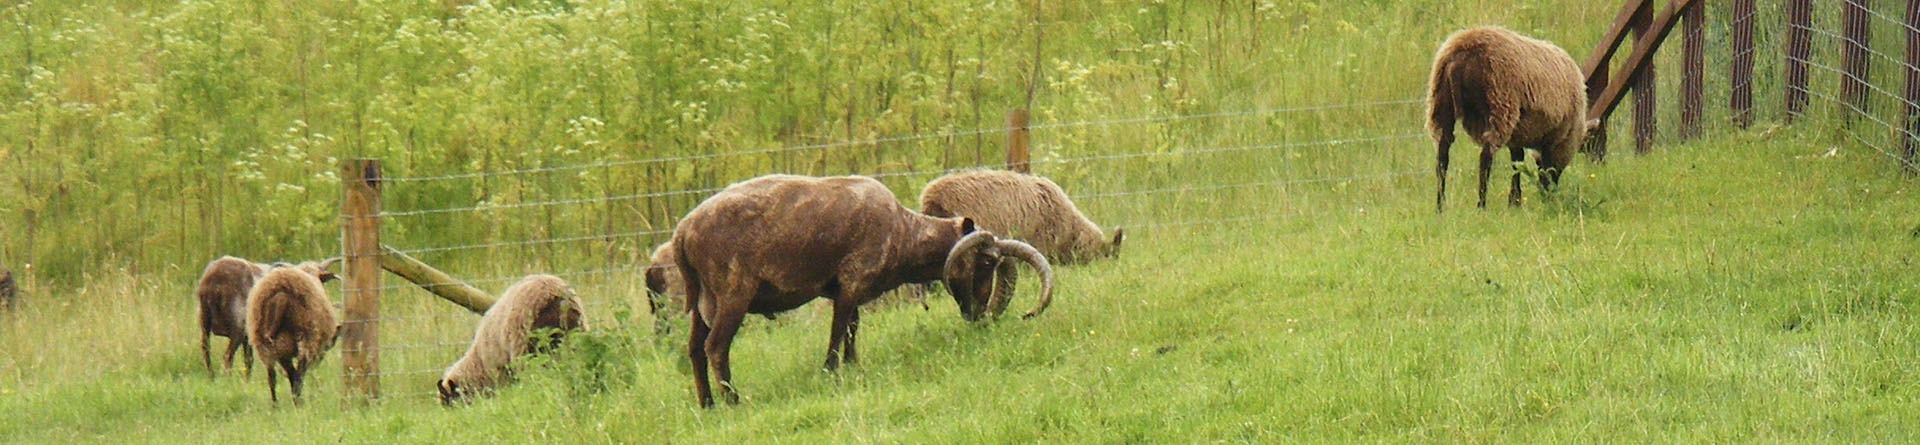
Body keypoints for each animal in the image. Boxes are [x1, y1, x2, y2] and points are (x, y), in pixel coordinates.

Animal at [195, 256, 337, 378]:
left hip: (204, 321)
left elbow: (249, 360)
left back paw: (212, 378)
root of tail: (213, 282)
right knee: (227, 357)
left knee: (206, 352)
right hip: (237, 326)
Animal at [246, 264, 339, 404]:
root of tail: (281, 296)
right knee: (298, 373)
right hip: (305, 338)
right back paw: (297, 401)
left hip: (266, 343)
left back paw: (276, 404)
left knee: (272, 376)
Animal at [669, 174, 1055, 407]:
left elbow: (852, 330)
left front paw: (853, 367)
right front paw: (830, 373)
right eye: (987, 262)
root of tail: (682, 234)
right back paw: (733, 401)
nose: (978, 315)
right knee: (716, 347)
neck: (905, 234)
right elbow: (837, 331)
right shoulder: (851, 282)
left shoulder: (850, 290)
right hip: (732, 293)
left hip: (703, 301)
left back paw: (707, 405)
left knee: (694, 350)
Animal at [1427, 26, 1598, 211]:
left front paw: (1515, 200)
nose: (1552, 192)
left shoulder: (1519, 134)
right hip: (1501, 104)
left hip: (1442, 103)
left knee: (1442, 155)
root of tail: (1463, 52)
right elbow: (1543, 166)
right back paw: (1481, 205)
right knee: (1485, 156)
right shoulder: (1552, 135)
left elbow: (1517, 162)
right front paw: (1540, 197)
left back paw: (1440, 206)